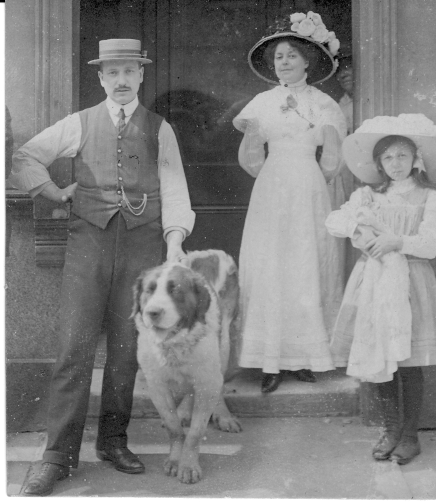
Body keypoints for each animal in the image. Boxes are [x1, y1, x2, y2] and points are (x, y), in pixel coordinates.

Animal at [133, 249, 242, 484]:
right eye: (149, 290)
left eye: (175, 290)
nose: (152, 312)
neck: (175, 344)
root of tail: (209, 253)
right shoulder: (157, 385)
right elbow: (174, 428)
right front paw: (175, 459)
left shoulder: (207, 380)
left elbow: (195, 432)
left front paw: (188, 465)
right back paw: (183, 411)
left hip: (223, 343)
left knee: (219, 383)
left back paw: (224, 416)